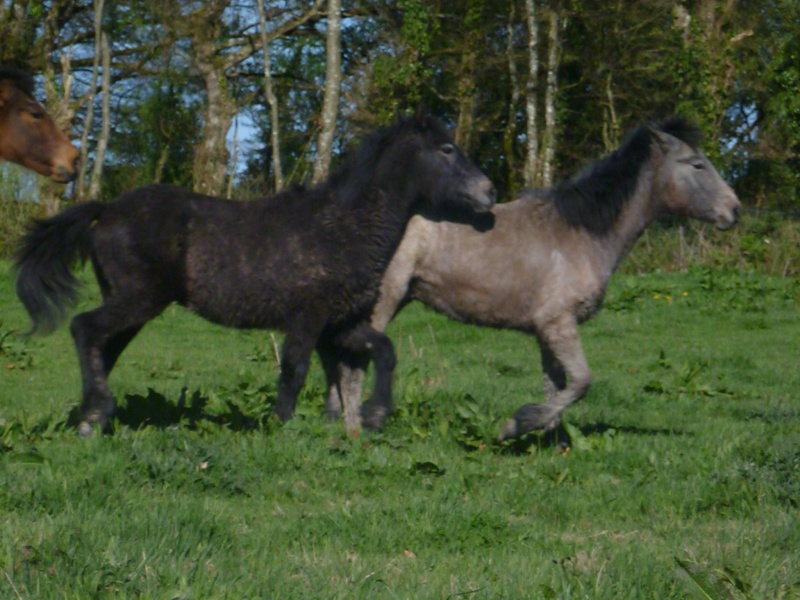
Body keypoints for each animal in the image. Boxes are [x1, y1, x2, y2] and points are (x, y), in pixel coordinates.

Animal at [15, 109, 496, 436]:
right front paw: (281, 429)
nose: (489, 192)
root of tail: (106, 210)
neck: (344, 227)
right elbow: (294, 372)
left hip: (131, 304)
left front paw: (373, 416)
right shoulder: (307, 317)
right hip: (138, 298)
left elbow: (382, 351)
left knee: (101, 347)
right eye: (446, 149)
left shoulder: (339, 324)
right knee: (83, 328)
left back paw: (92, 419)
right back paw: (96, 412)